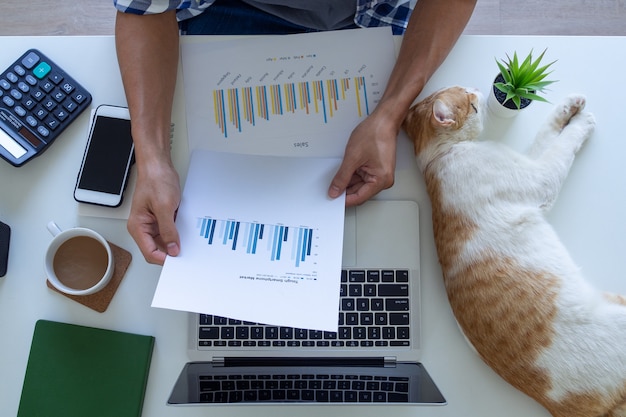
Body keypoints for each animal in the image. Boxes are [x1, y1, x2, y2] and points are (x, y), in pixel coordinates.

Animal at [400, 86, 624, 414]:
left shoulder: (527, 162)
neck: (438, 157)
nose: (477, 90)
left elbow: (546, 135)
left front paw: (569, 108)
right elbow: (560, 148)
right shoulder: (540, 179)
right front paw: (582, 122)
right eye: (471, 102)